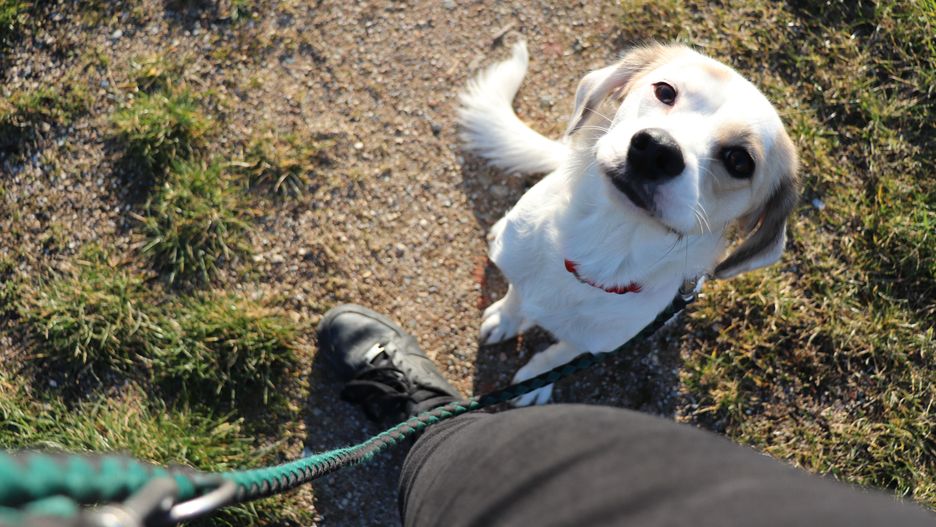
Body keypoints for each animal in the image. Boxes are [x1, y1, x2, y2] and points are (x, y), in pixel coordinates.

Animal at [458, 41, 798, 406]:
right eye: (664, 91)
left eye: (739, 161)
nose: (657, 150)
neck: (601, 242)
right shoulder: (521, 269)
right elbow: (515, 296)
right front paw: (505, 319)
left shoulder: (594, 343)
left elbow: (555, 357)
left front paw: (536, 383)